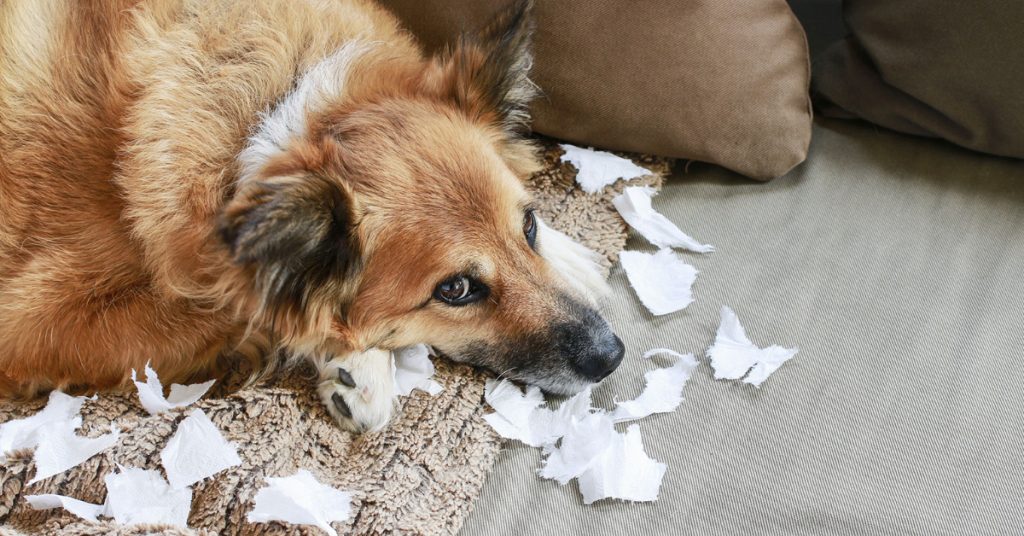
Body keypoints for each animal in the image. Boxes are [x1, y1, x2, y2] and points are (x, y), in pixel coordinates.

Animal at [0, 0, 622, 432]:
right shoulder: (39, 323)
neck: (281, 124)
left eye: (530, 227)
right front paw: (360, 365)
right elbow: (254, 313)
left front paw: (573, 256)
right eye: (456, 289)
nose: (611, 356)